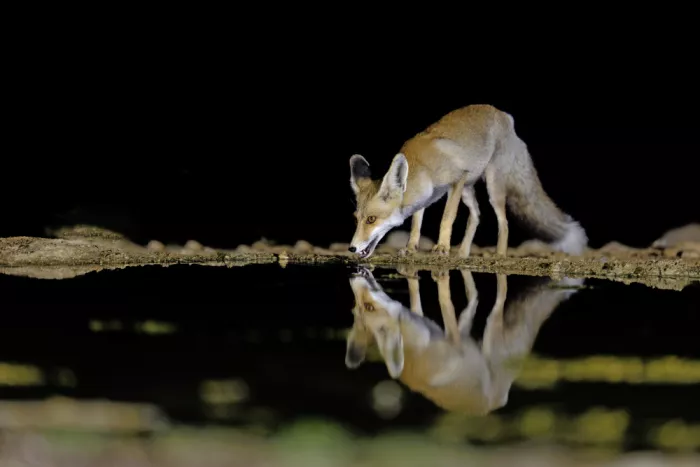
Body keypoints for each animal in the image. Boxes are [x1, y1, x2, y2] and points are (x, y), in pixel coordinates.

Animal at [345, 266, 583, 415]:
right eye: (356, 309)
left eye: (369, 307)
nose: (354, 276)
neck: (419, 347)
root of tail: (494, 405)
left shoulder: (454, 341)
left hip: (493, 339)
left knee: (498, 303)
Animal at [348, 104, 588, 259]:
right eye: (356, 219)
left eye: (371, 219)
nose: (351, 248)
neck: (422, 166)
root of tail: (504, 115)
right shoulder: (427, 196)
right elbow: (417, 223)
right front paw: (411, 247)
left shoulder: (457, 179)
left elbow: (447, 218)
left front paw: (442, 248)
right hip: (468, 190)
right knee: (476, 216)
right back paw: (463, 254)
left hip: (491, 186)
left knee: (503, 222)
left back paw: (499, 255)